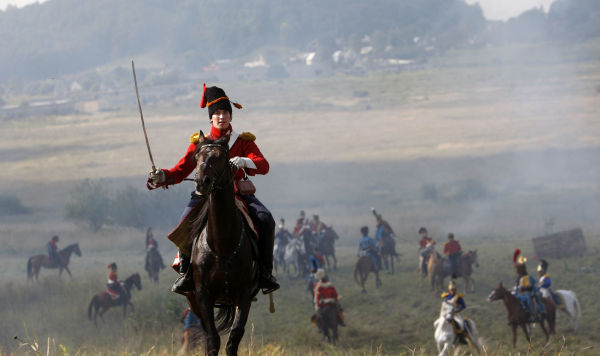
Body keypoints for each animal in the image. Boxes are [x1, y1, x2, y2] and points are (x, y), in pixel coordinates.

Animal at [188, 134, 260, 356]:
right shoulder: (202, 295)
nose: (201, 182)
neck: (222, 245)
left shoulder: (244, 293)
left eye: (221, 157)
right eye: (196, 156)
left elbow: (234, 337)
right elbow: (212, 338)